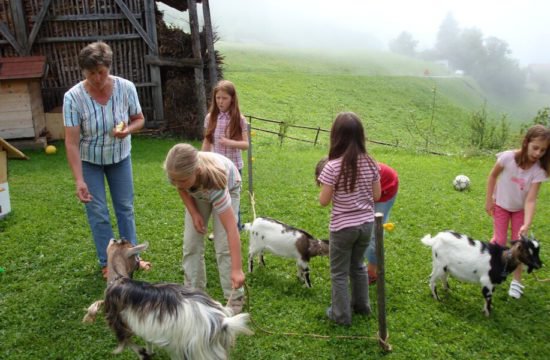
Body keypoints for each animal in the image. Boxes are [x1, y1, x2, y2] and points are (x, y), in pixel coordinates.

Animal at [83, 239, 253, 360]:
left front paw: (143, 353)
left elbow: (127, 343)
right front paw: (149, 351)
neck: (118, 279)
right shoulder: (146, 324)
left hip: (198, 351)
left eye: (118, 242)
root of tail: (222, 321)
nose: (115, 238)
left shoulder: (117, 322)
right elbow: (147, 339)